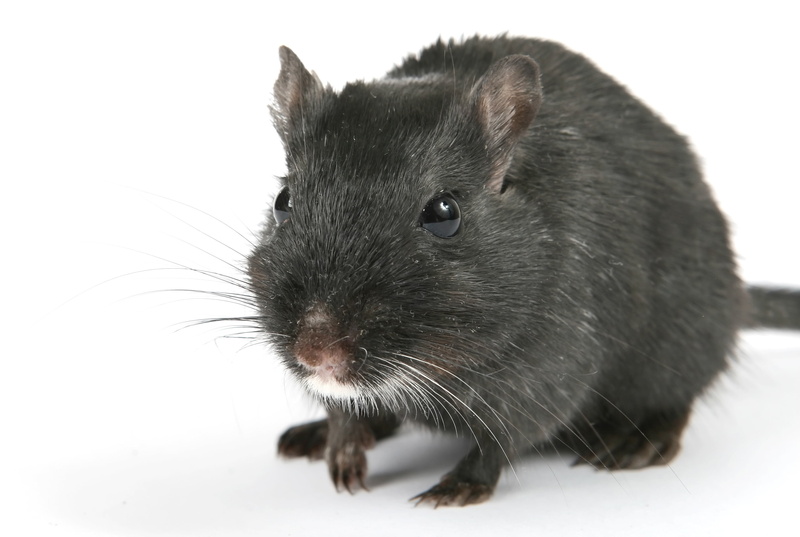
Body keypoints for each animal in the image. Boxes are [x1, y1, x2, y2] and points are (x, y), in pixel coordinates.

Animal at [246, 35, 800, 507]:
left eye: (444, 214)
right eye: (282, 201)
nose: (316, 353)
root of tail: (740, 298)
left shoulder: (553, 363)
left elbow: (505, 436)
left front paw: (456, 488)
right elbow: (343, 407)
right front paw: (341, 449)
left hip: (686, 338)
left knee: (680, 398)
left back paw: (635, 441)